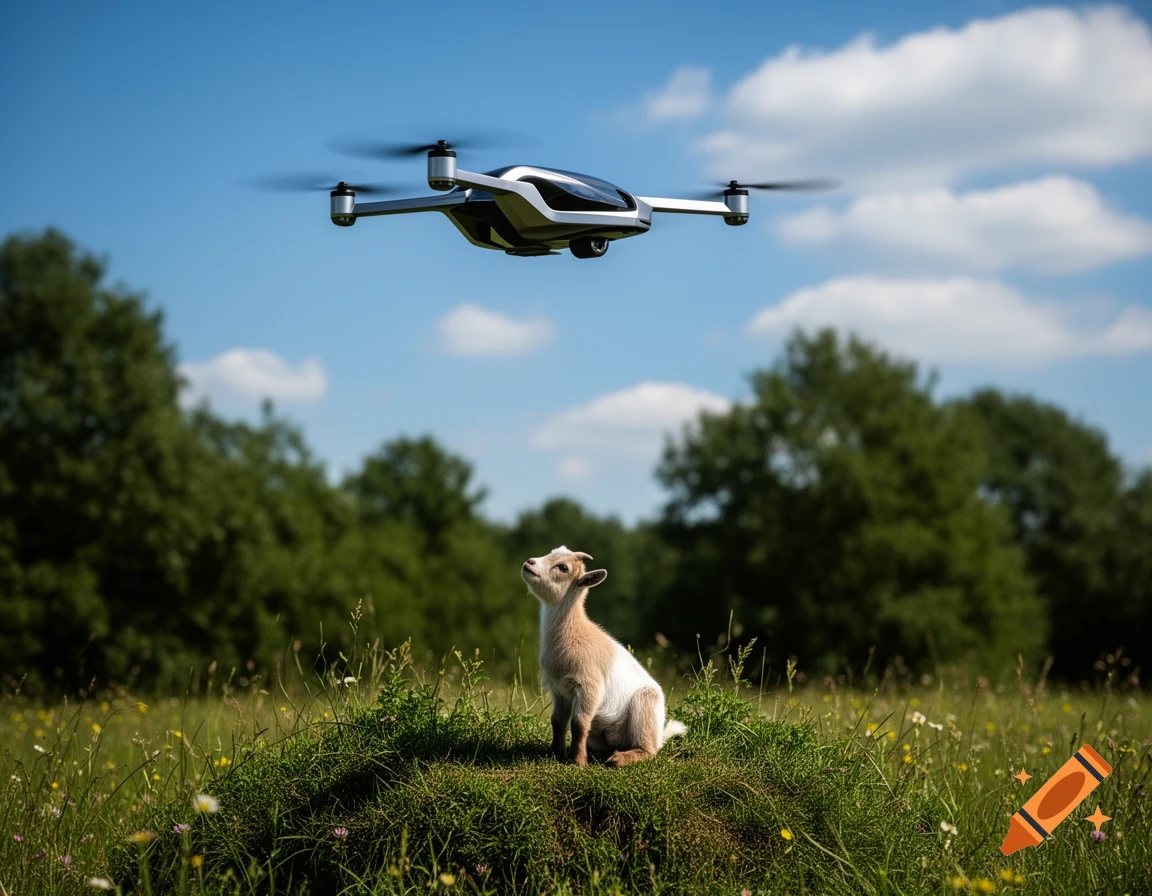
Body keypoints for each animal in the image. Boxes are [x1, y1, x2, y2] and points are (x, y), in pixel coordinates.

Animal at [520, 545, 686, 767]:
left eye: (563, 567)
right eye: (551, 552)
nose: (529, 562)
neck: (574, 634)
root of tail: (660, 735)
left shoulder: (589, 686)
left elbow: (579, 723)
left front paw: (578, 761)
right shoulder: (559, 689)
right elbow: (558, 721)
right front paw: (556, 754)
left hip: (645, 706)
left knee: (648, 750)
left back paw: (619, 759)